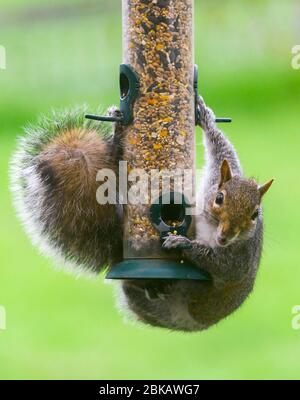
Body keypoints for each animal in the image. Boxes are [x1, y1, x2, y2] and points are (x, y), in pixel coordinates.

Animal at [9, 97, 272, 332]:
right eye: (219, 198)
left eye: (254, 214)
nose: (226, 236)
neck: (211, 227)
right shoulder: (214, 180)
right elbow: (221, 149)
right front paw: (206, 118)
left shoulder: (239, 259)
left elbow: (222, 267)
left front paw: (182, 243)